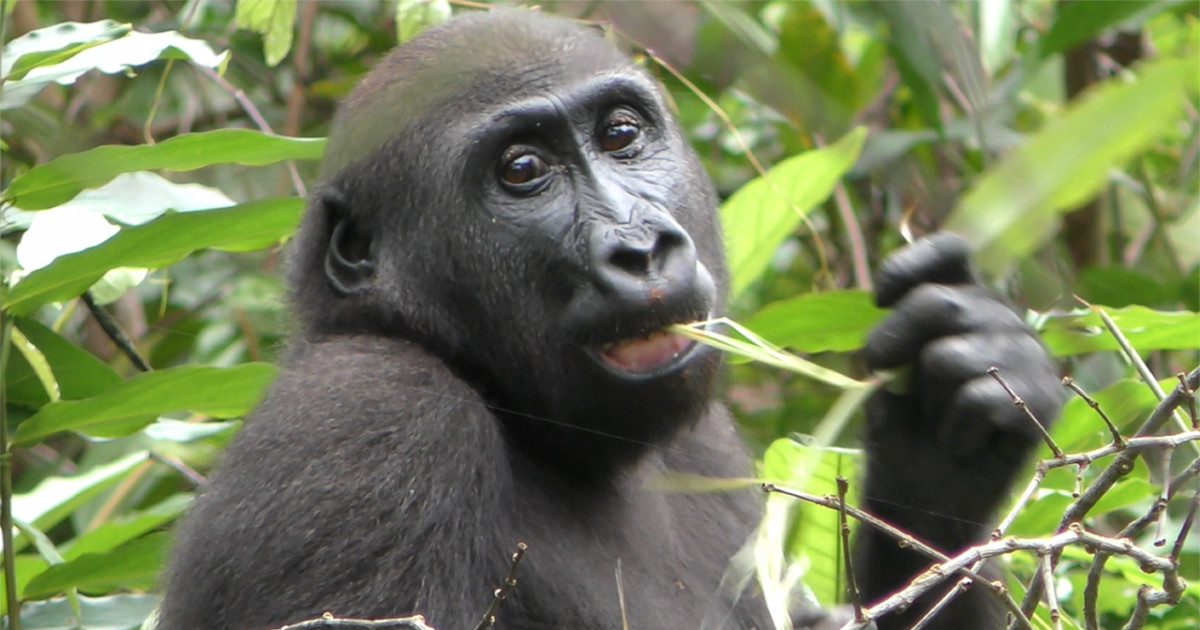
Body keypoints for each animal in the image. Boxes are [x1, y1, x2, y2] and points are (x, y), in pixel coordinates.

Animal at [157, 9, 1060, 628]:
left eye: (622, 133)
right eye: (524, 170)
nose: (642, 248)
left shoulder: (708, 442)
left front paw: (941, 439)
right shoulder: (367, 420)